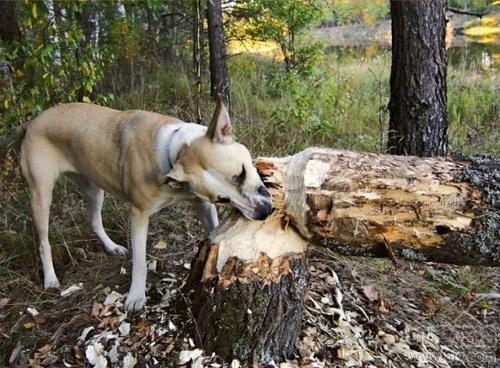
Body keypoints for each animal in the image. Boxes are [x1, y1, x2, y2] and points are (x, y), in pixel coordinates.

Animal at [18, 100, 274, 310]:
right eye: (223, 198)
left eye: (242, 173)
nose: (264, 213)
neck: (175, 152)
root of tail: (32, 122)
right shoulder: (139, 215)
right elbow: (140, 261)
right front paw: (136, 296)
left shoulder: (202, 204)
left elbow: (214, 229)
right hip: (41, 196)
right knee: (43, 241)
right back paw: (50, 279)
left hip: (93, 188)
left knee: (94, 221)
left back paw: (112, 247)